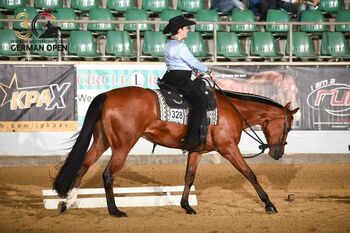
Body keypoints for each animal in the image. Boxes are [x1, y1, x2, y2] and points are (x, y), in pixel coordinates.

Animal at [53, 84, 300, 218]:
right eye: (288, 126)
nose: (278, 153)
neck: (233, 110)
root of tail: (108, 95)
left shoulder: (196, 152)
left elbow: (189, 177)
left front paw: (187, 206)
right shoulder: (228, 148)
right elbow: (250, 173)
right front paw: (269, 204)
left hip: (101, 142)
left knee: (82, 167)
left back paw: (68, 202)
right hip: (122, 147)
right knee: (107, 174)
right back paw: (115, 210)